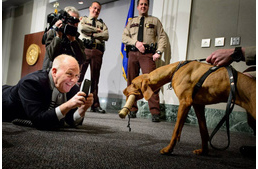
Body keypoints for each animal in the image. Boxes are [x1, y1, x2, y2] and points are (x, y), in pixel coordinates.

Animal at [119, 60, 256, 156]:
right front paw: (203, 151)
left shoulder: (185, 102)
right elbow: (203, 131)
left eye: (132, 84)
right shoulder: (198, 105)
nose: (123, 91)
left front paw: (168, 150)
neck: (176, 69)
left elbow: (176, 130)